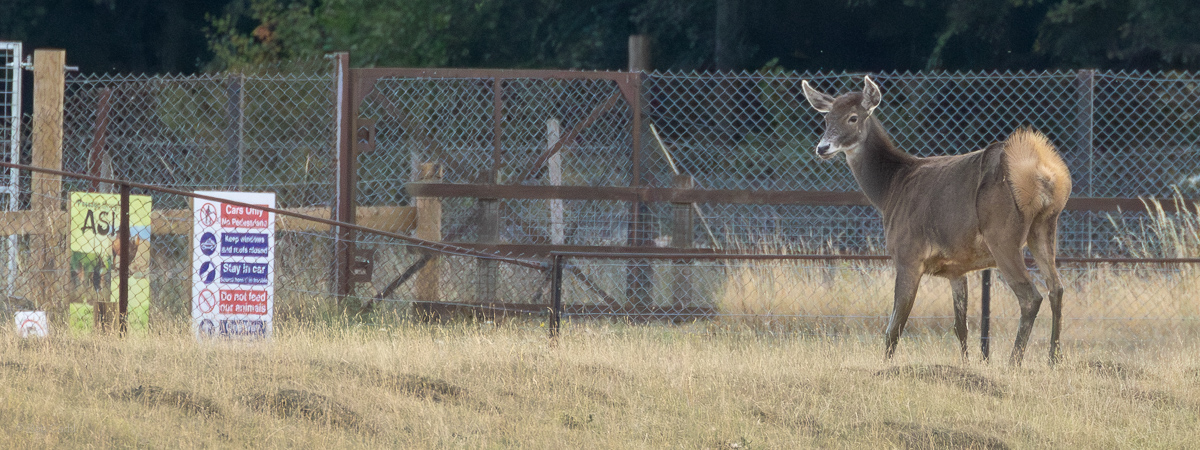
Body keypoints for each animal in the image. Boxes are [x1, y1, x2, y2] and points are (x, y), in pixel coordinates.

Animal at [800, 76, 1072, 365]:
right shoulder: (957, 266)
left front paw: (885, 366)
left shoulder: (908, 255)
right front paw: (966, 364)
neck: (890, 190)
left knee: (1031, 296)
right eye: (826, 119)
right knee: (1056, 287)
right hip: (1045, 226)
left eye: (853, 118)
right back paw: (1053, 358)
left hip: (1002, 235)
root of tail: (1042, 171)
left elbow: (894, 327)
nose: (822, 148)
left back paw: (1014, 362)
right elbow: (960, 326)